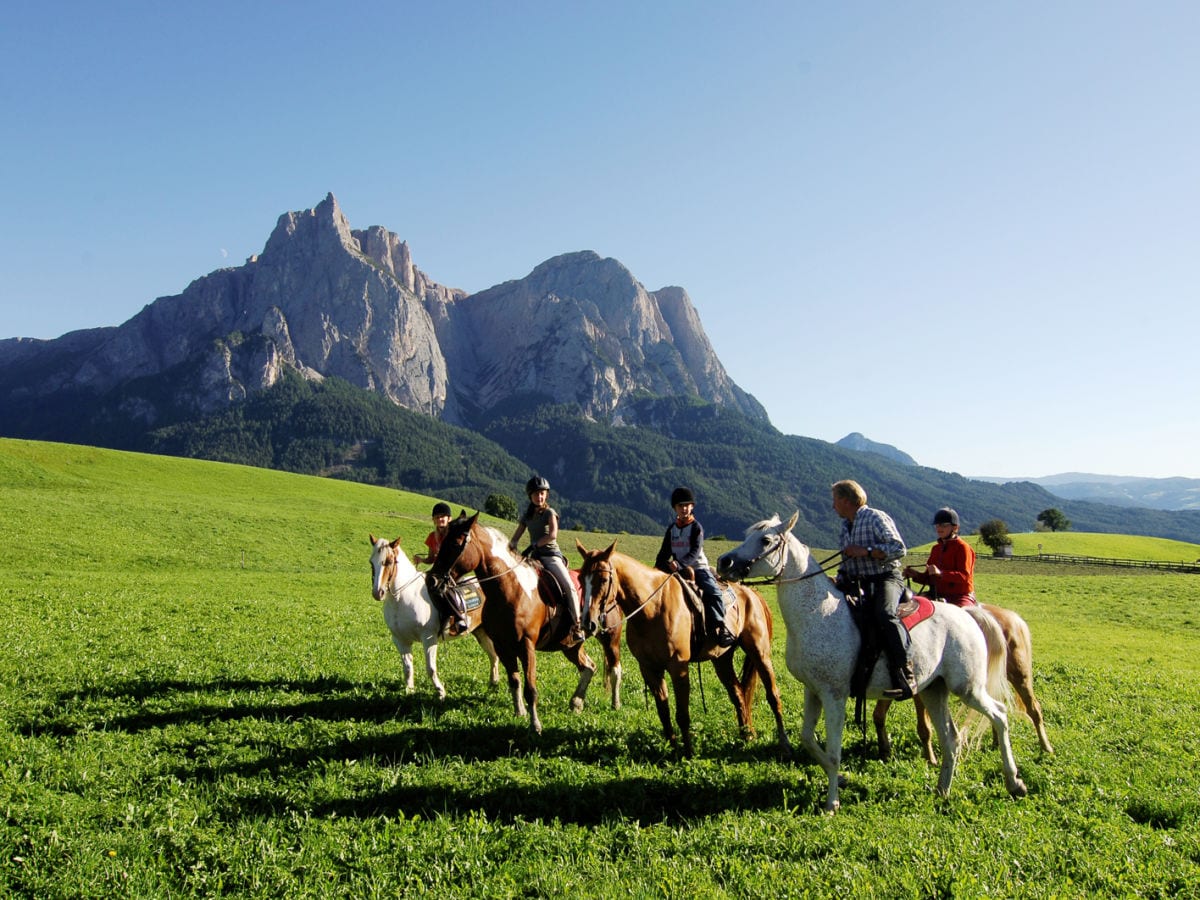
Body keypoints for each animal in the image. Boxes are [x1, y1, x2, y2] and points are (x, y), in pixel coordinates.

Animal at [364, 535, 496, 705]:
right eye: (371, 561)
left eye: (389, 561)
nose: (378, 592)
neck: (403, 598)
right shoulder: (400, 640)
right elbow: (407, 668)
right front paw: (409, 692)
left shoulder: (429, 638)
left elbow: (431, 668)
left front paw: (440, 692)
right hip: (480, 631)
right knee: (493, 655)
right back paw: (493, 683)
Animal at [429, 511, 600, 734]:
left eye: (456, 543)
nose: (431, 580)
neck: (511, 590)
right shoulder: (502, 646)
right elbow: (514, 681)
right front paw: (520, 713)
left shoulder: (526, 646)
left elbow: (530, 689)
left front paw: (535, 725)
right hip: (569, 645)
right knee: (589, 666)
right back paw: (576, 703)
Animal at [576, 542, 792, 763]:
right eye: (580, 579)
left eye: (603, 579)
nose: (588, 623)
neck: (651, 608)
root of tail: (752, 594)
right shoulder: (649, 668)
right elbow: (663, 711)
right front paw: (671, 749)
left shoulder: (678, 666)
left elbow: (682, 714)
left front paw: (688, 753)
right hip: (722, 659)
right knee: (738, 693)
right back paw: (746, 735)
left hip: (760, 652)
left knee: (773, 695)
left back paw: (784, 745)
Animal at [715, 513, 1027, 816]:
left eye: (766, 539)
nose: (724, 562)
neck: (818, 613)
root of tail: (969, 615)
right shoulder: (813, 691)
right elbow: (808, 740)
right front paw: (842, 779)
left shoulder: (834, 695)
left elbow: (833, 753)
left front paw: (832, 803)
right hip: (933, 690)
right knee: (951, 738)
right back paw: (943, 790)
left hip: (968, 689)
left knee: (999, 716)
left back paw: (1014, 783)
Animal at [873, 602, 1051, 763]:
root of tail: (1013, 618)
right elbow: (879, 715)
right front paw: (884, 752)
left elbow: (924, 727)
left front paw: (931, 759)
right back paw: (997, 743)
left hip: (1020, 677)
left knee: (1033, 709)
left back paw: (1046, 747)